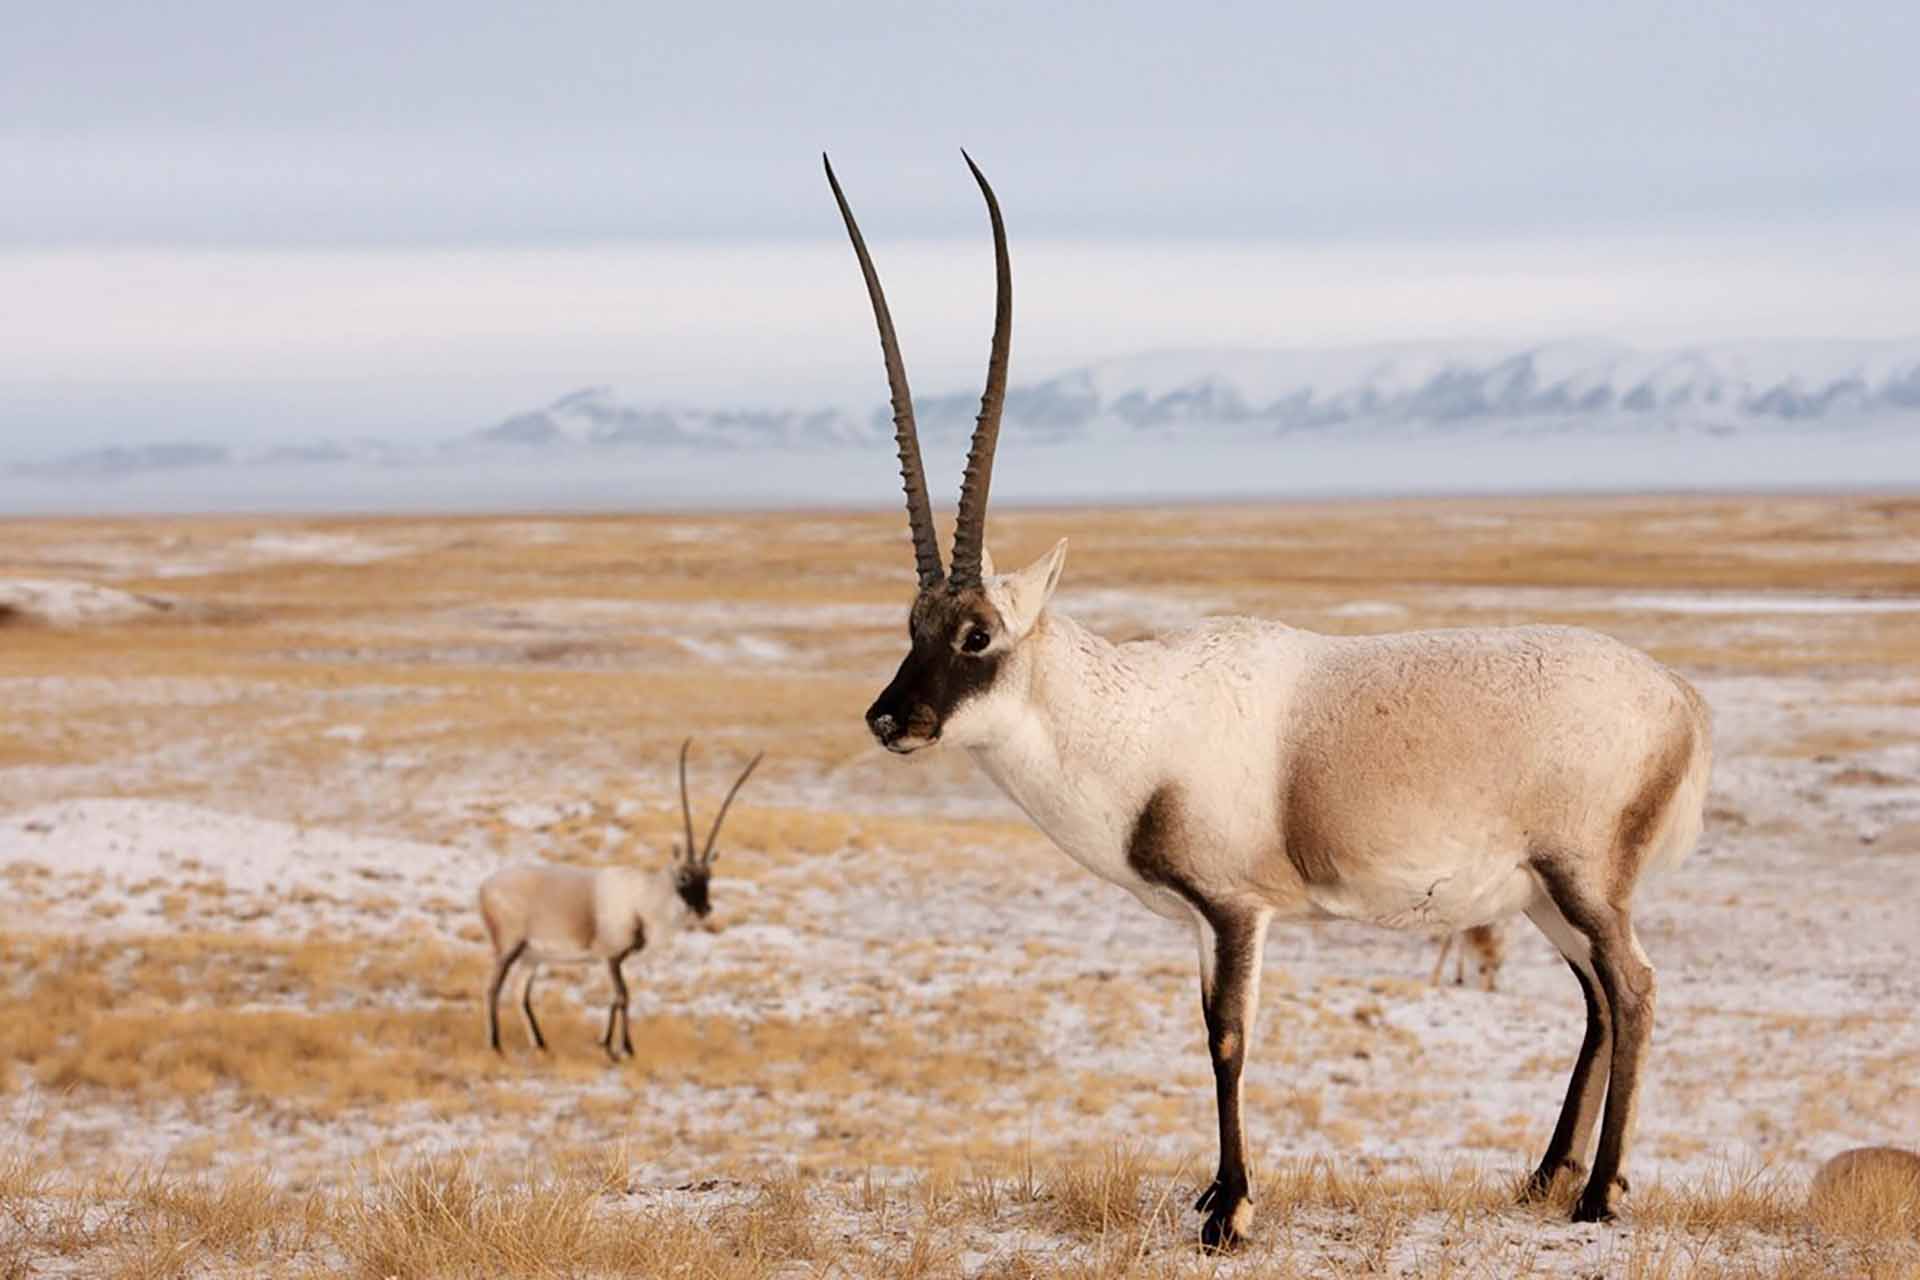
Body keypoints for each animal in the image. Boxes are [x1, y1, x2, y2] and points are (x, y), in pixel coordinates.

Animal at [479, 740, 762, 1062]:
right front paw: (623, 1048)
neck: (646, 895)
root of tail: (485, 886)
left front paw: (606, 1043)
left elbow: (616, 999)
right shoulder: (613, 957)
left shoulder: (613, 960)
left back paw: (541, 1044)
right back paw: (496, 1045)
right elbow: (622, 996)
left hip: (532, 956)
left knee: (519, 993)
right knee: (492, 988)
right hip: (508, 948)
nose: (704, 908)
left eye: (709, 877)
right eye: (684, 877)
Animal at [825, 153, 1713, 1248]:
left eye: (976, 634)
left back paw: (1598, 1194)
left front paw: (1233, 1210)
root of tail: (1679, 697)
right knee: (1596, 998)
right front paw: (1214, 1192)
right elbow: (1206, 1029)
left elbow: (1229, 1035)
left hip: (1582, 878)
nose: (889, 719)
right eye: (910, 626)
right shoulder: (1199, 921)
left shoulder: (1238, 907)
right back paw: (1546, 1175)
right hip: (1548, 894)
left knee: (1632, 987)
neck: (1131, 716)